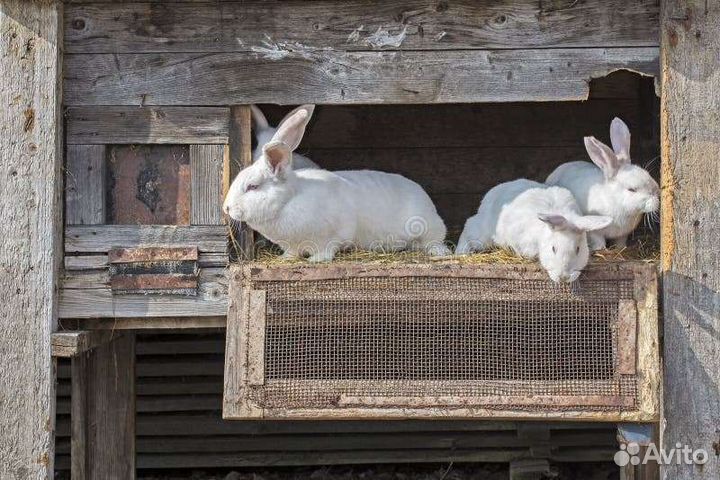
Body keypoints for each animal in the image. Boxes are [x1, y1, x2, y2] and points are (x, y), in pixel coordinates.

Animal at [224, 106, 451, 262]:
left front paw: (314, 260)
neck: (288, 202)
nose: (226, 208)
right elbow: (291, 253)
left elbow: (327, 250)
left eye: (252, 187)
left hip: (427, 228)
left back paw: (440, 251)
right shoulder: (292, 245)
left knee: (434, 241)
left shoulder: (333, 235)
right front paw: (285, 259)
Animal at [456, 179, 613, 283]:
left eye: (578, 249)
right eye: (553, 248)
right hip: (482, 233)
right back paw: (460, 252)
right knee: (468, 227)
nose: (563, 277)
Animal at [546, 117, 660, 251]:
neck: (616, 202)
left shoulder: (622, 235)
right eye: (631, 189)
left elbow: (620, 243)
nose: (656, 193)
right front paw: (600, 249)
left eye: (648, 174)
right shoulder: (594, 231)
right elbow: (599, 242)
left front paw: (620, 249)